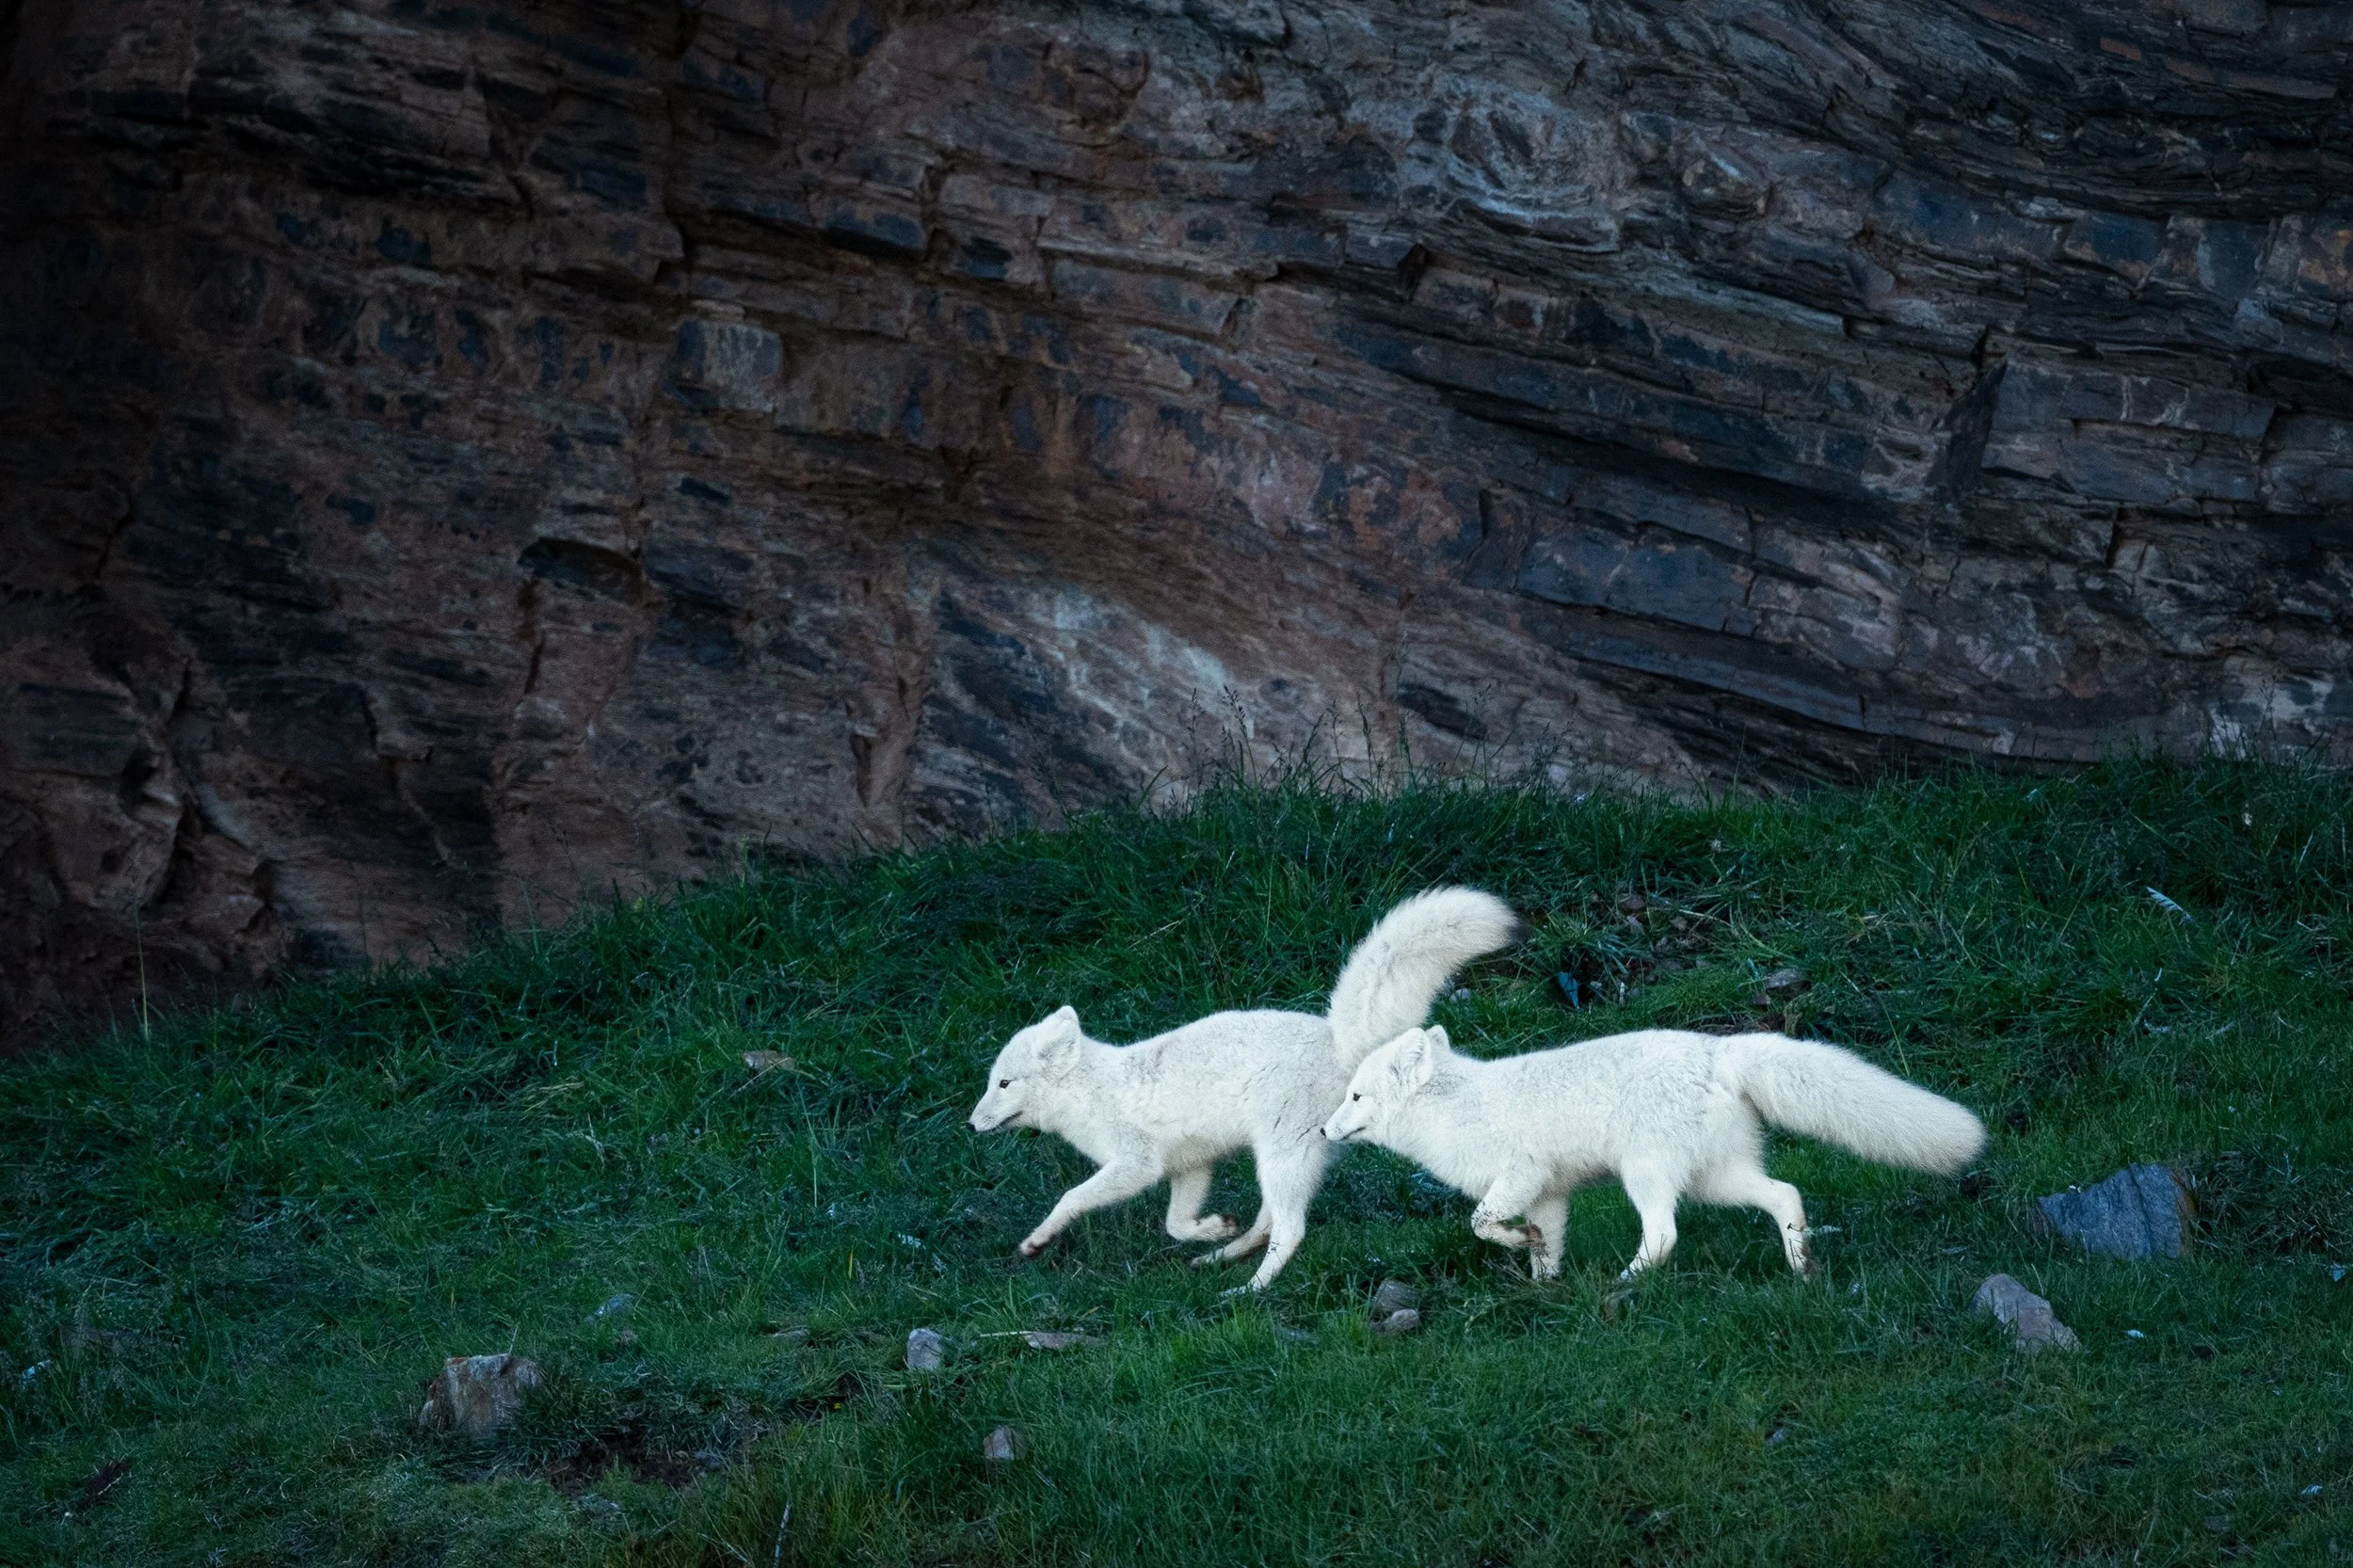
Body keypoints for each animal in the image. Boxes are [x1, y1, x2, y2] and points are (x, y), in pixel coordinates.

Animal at [966, 888, 1520, 1291]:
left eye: (1004, 1083)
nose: (970, 1124)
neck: (1093, 1091)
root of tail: (1340, 1040)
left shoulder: (1136, 1165)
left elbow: (1071, 1198)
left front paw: (1036, 1242)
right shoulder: (1190, 1168)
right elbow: (1175, 1224)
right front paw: (1212, 1229)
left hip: (1280, 1155)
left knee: (1290, 1229)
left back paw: (1252, 1289)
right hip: (1281, 1161)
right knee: (1269, 1222)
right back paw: (1223, 1253)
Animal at [1322, 1023, 1986, 1281]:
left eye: (1354, 1095)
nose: (1323, 1133)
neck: (1460, 1107)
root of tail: (1719, 1052)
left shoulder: (1521, 1174)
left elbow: (1481, 1222)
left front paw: (1518, 1248)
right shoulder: (1549, 1194)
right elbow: (1545, 1249)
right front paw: (1542, 1288)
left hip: (1646, 1172)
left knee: (1665, 1234)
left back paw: (1625, 1282)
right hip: (1716, 1176)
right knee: (1785, 1194)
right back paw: (1802, 1266)